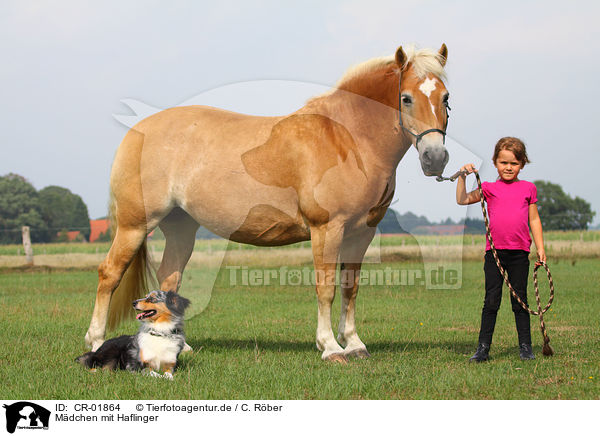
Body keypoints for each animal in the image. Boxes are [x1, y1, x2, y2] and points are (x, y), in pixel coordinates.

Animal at [84, 44, 450, 362]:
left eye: (445, 98)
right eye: (405, 98)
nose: (435, 158)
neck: (345, 138)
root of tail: (138, 130)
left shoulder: (362, 233)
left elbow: (350, 288)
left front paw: (355, 344)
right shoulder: (327, 229)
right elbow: (327, 288)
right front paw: (331, 348)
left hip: (180, 226)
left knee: (169, 279)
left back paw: (181, 346)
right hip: (134, 225)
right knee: (109, 274)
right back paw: (97, 342)